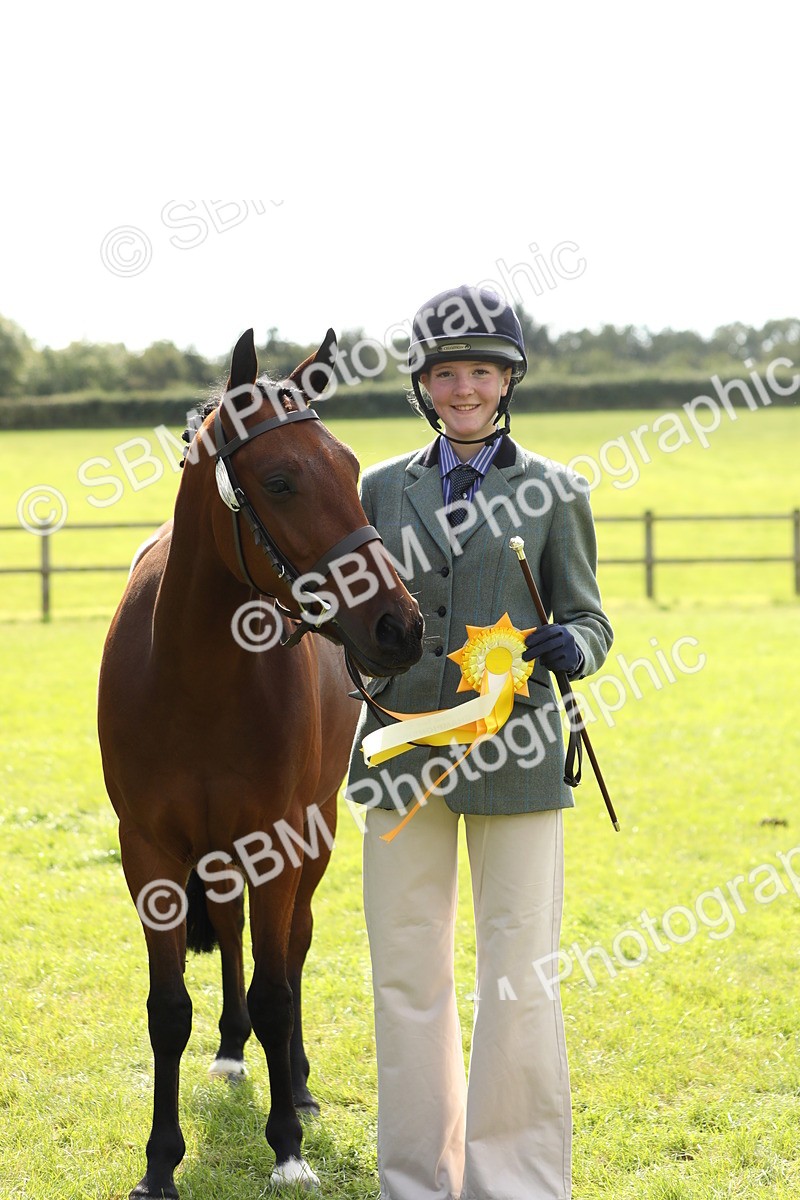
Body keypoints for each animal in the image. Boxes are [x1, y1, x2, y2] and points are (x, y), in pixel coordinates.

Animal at [98, 327, 424, 1198]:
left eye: (349, 465)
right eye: (280, 480)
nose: (400, 626)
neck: (195, 674)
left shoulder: (279, 840)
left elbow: (279, 990)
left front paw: (287, 1148)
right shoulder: (149, 852)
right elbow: (166, 1009)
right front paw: (159, 1164)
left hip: (309, 839)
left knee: (294, 946)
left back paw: (296, 1084)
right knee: (235, 930)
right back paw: (230, 1047)